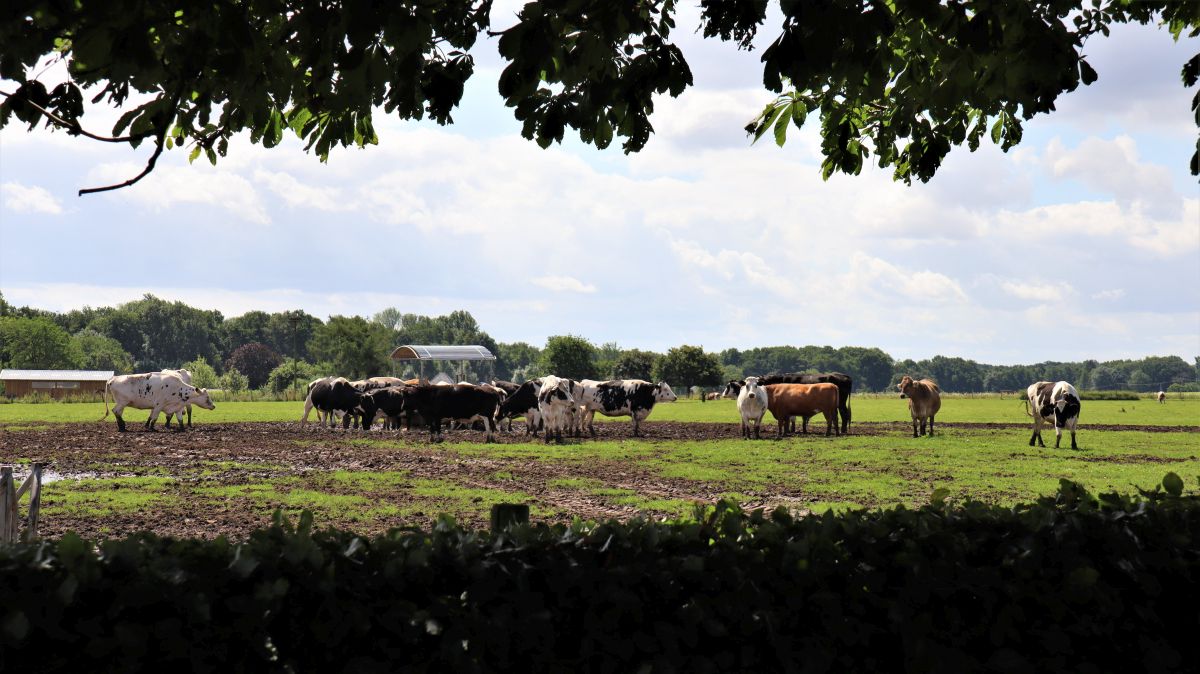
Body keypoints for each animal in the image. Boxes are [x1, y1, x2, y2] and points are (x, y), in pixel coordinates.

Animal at [720, 369, 854, 431]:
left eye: (728, 386)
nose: (722, 394)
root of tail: (845, 376)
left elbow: (790, 419)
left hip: (841, 403)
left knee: (844, 414)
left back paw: (843, 431)